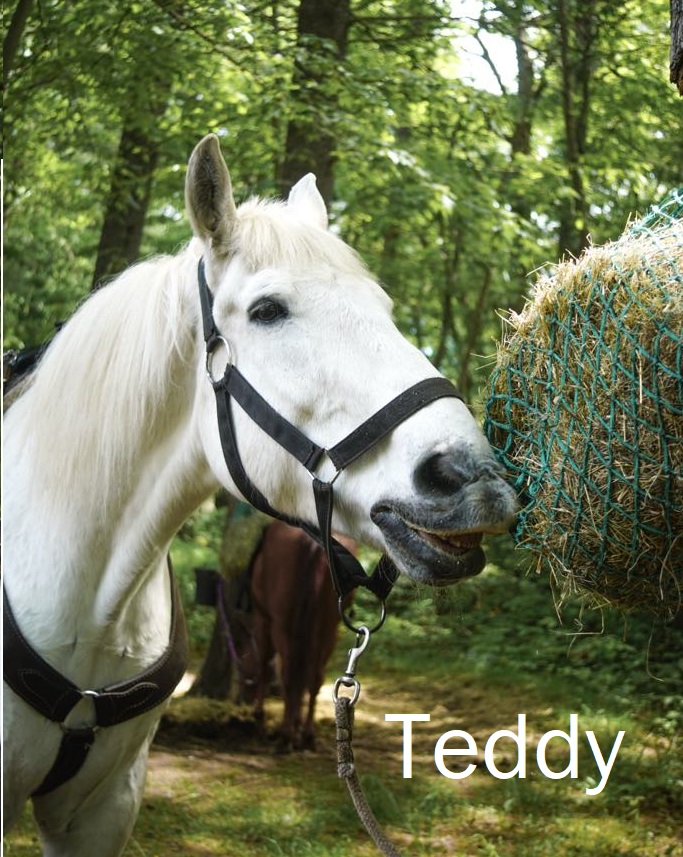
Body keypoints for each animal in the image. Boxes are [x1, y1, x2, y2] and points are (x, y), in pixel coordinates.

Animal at [239, 520, 356, 753]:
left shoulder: (264, 620)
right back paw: (307, 734)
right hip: (328, 628)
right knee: (314, 677)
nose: (245, 694)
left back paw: (285, 735)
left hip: (282, 624)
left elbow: (267, 668)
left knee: (288, 672)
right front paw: (297, 724)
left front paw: (261, 719)